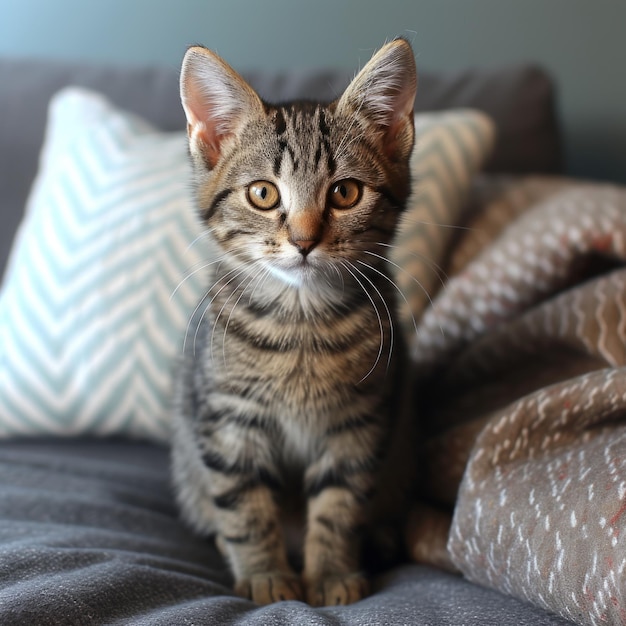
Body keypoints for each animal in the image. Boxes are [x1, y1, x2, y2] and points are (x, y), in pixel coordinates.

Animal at [168, 39, 416, 604]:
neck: (301, 322)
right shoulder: (228, 419)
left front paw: (331, 575)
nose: (304, 241)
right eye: (263, 194)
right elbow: (243, 506)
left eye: (345, 193)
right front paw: (265, 575)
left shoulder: (358, 423)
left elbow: (341, 505)